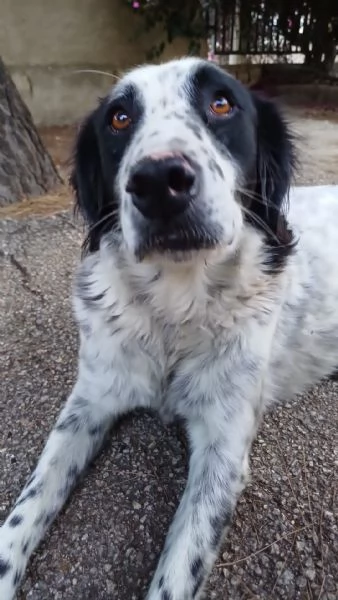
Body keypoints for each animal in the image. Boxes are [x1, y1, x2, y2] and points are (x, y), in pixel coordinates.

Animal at [0, 57, 338, 600]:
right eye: (119, 118)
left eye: (221, 103)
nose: (159, 180)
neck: (174, 309)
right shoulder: (87, 402)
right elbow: (29, 503)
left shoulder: (223, 450)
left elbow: (177, 571)